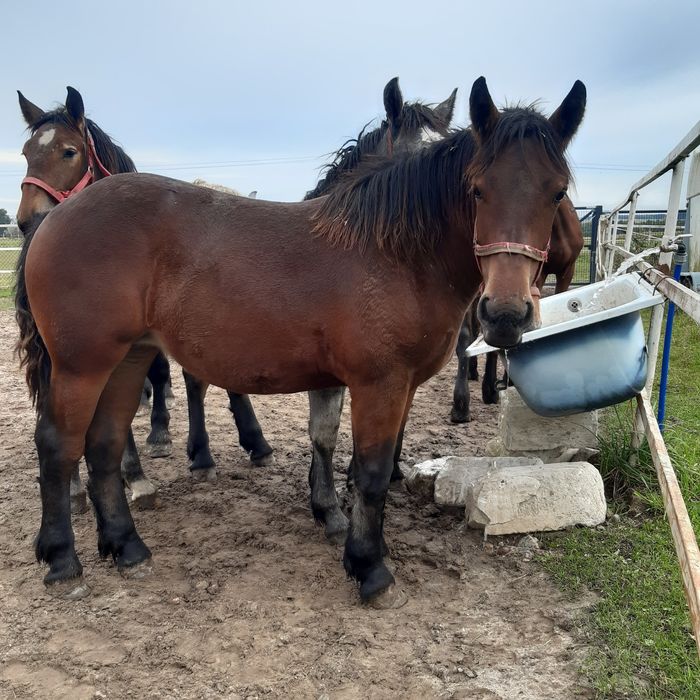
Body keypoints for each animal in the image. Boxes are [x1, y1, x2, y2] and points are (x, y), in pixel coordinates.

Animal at [16, 75, 584, 600]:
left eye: (557, 191)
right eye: (477, 188)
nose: (506, 313)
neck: (394, 252)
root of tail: (54, 218)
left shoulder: (381, 385)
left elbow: (349, 454)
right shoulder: (379, 384)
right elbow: (372, 472)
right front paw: (369, 567)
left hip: (128, 360)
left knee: (105, 444)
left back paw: (127, 546)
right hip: (82, 365)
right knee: (59, 445)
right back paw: (63, 559)